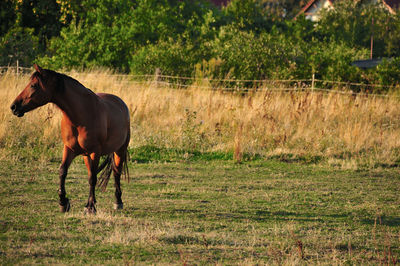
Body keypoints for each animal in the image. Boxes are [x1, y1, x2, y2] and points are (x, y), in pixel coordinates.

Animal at [10, 64, 130, 214]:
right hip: (86, 156)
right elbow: (63, 172)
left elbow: (93, 178)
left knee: (116, 173)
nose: (14, 107)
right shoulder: (69, 149)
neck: (81, 115)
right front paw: (63, 202)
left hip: (120, 150)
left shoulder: (95, 152)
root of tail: (121, 103)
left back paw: (117, 202)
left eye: (33, 85)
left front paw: (91, 208)